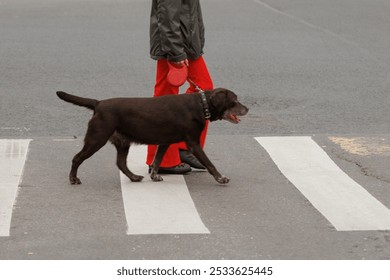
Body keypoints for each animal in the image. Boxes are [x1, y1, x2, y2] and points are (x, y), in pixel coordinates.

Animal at [56, 88, 248, 185]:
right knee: (77, 158)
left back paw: (134, 177)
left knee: (120, 163)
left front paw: (154, 176)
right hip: (97, 138)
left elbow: (157, 161)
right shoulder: (193, 143)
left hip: (122, 142)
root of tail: (98, 103)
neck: (202, 104)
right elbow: (210, 163)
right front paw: (221, 178)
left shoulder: (165, 142)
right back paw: (73, 179)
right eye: (235, 100)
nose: (247, 108)